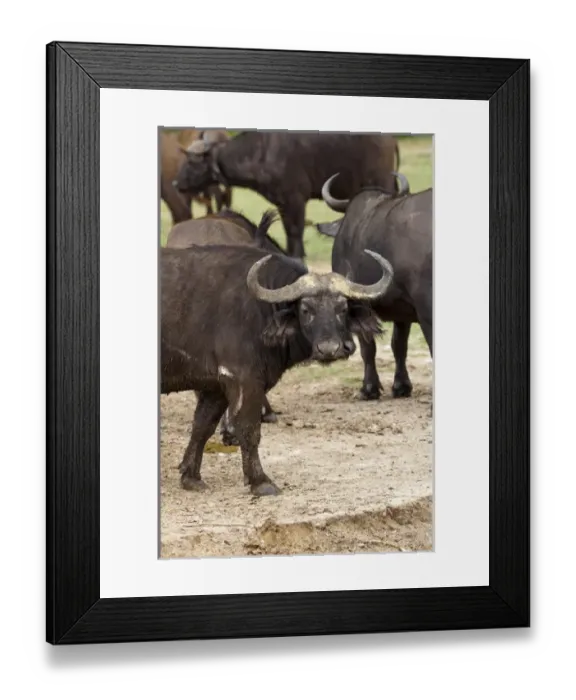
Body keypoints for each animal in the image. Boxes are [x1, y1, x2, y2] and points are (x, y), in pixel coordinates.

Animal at [161, 244, 393, 496]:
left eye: (342, 309)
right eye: (305, 309)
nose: (330, 349)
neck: (260, 312)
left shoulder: (215, 387)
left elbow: (202, 427)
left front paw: (191, 477)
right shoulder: (243, 379)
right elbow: (249, 429)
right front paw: (261, 481)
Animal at [173, 130, 400, 260]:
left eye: (192, 161)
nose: (176, 183)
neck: (261, 153)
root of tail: (390, 139)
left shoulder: (295, 200)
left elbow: (294, 232)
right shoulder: (282, 203)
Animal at [317, 171, 432, 400]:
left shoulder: (359, 304)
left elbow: (367, 346)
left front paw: (369, 388)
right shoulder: (402, 309)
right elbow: (399, 345)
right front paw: (401, 386)